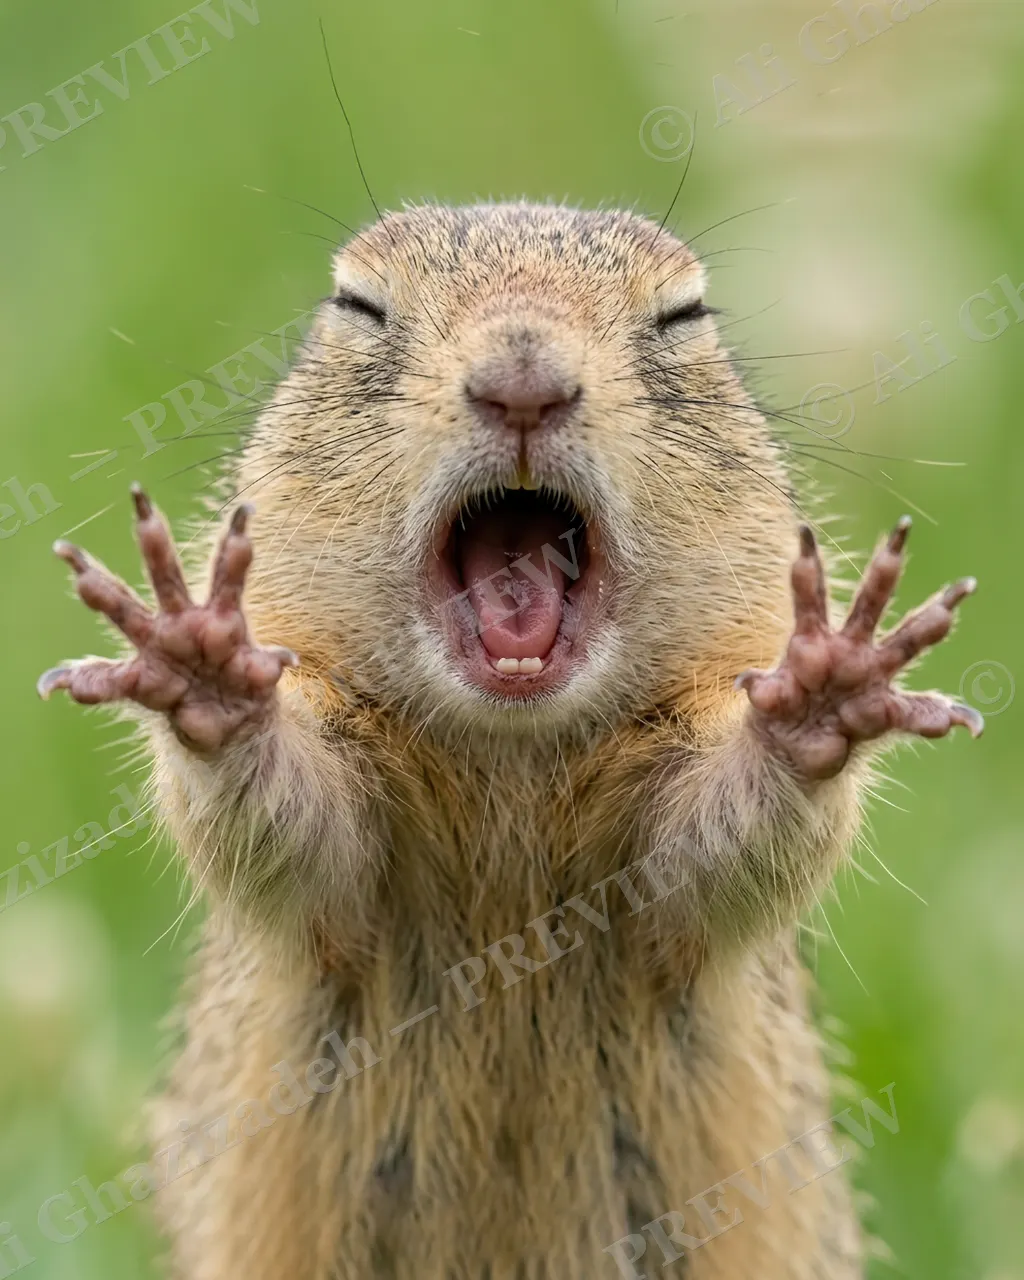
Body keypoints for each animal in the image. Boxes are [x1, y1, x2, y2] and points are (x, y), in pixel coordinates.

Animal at [39, 202, 982, 1279]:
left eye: (681, 315)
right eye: (358, 305)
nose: (522, 379)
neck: (513, 763)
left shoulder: (665, 858)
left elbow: (724, 847)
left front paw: (823, 688)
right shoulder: (348, 864)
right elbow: (293, 830)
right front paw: (203, 664)